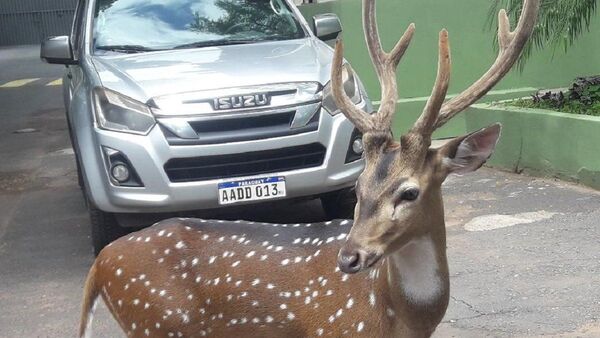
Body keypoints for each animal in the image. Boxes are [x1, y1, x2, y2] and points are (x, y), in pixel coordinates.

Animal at [79, 1, 540, 336]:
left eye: (409, 191)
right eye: (358, 188)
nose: (350, 258)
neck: (400, 319)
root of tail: (100, 264)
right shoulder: (337, 329)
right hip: (157, 322)